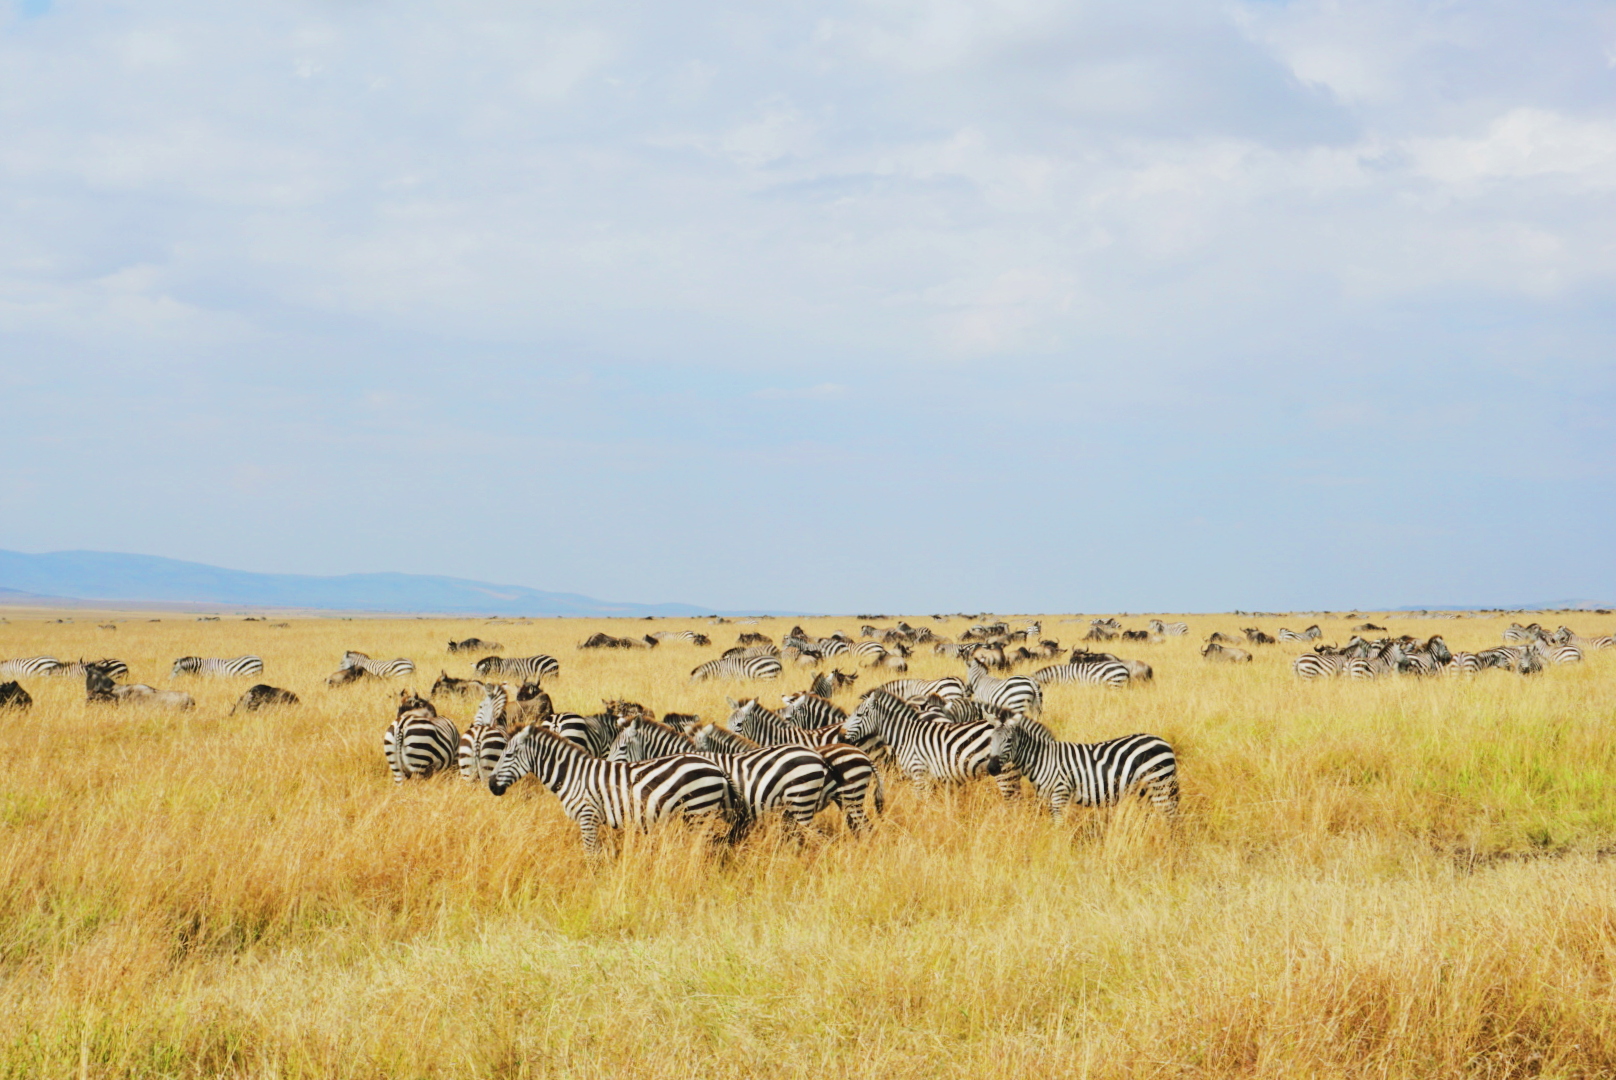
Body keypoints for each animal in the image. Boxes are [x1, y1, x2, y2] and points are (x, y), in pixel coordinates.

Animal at [484, 721, 740, 853]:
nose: (491, 786)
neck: (572, 776)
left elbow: (590, 854)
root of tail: (716, 767)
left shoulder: (588, 817)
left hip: (699, 810)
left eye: (508, 755)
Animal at [846, 688, 1021, 798]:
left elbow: (920, 803)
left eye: (859, 715)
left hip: (1005, 772)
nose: (843, 736)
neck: (906, 734)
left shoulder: (919, 774)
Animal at [982, 717, 1176, 818]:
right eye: (990, 740)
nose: (992, 768)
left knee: (1171, 819)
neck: (1043, 759)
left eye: (1009, 740)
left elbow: (1058, 827)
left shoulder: (1060, 794)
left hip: (1161, 785)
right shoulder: (1049, 798)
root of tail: (1162, 741)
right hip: (1145, 792)